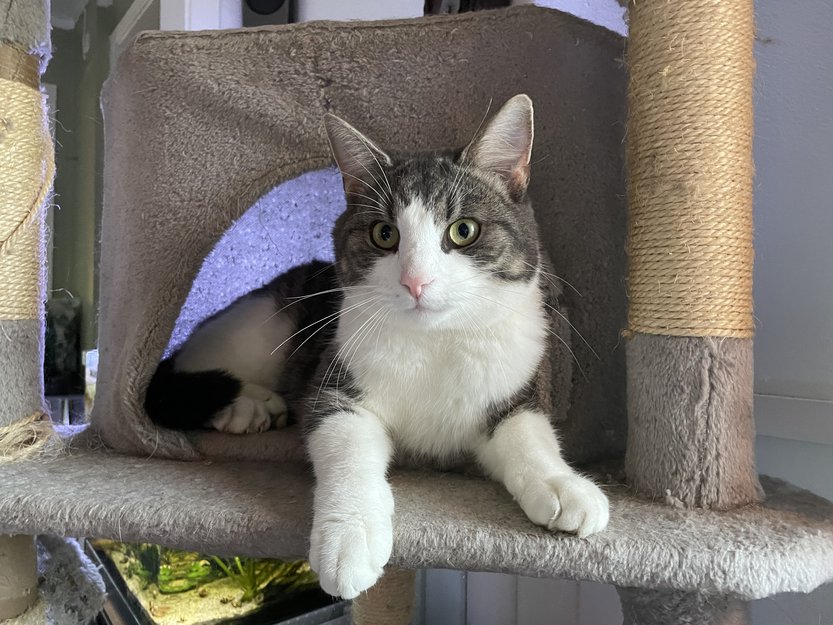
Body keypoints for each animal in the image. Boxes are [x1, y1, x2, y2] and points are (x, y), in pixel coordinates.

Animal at [145, 94, 609, 599]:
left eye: (463, 230)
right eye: (384, 234)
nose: (416, 281)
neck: (434, 343)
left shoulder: (513, 384)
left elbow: (527, 432)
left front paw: (562, 484)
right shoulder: (334, 382)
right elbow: (347, 447)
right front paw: (349, 537)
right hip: (261, 329)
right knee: (184, 372)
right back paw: (247, 405)